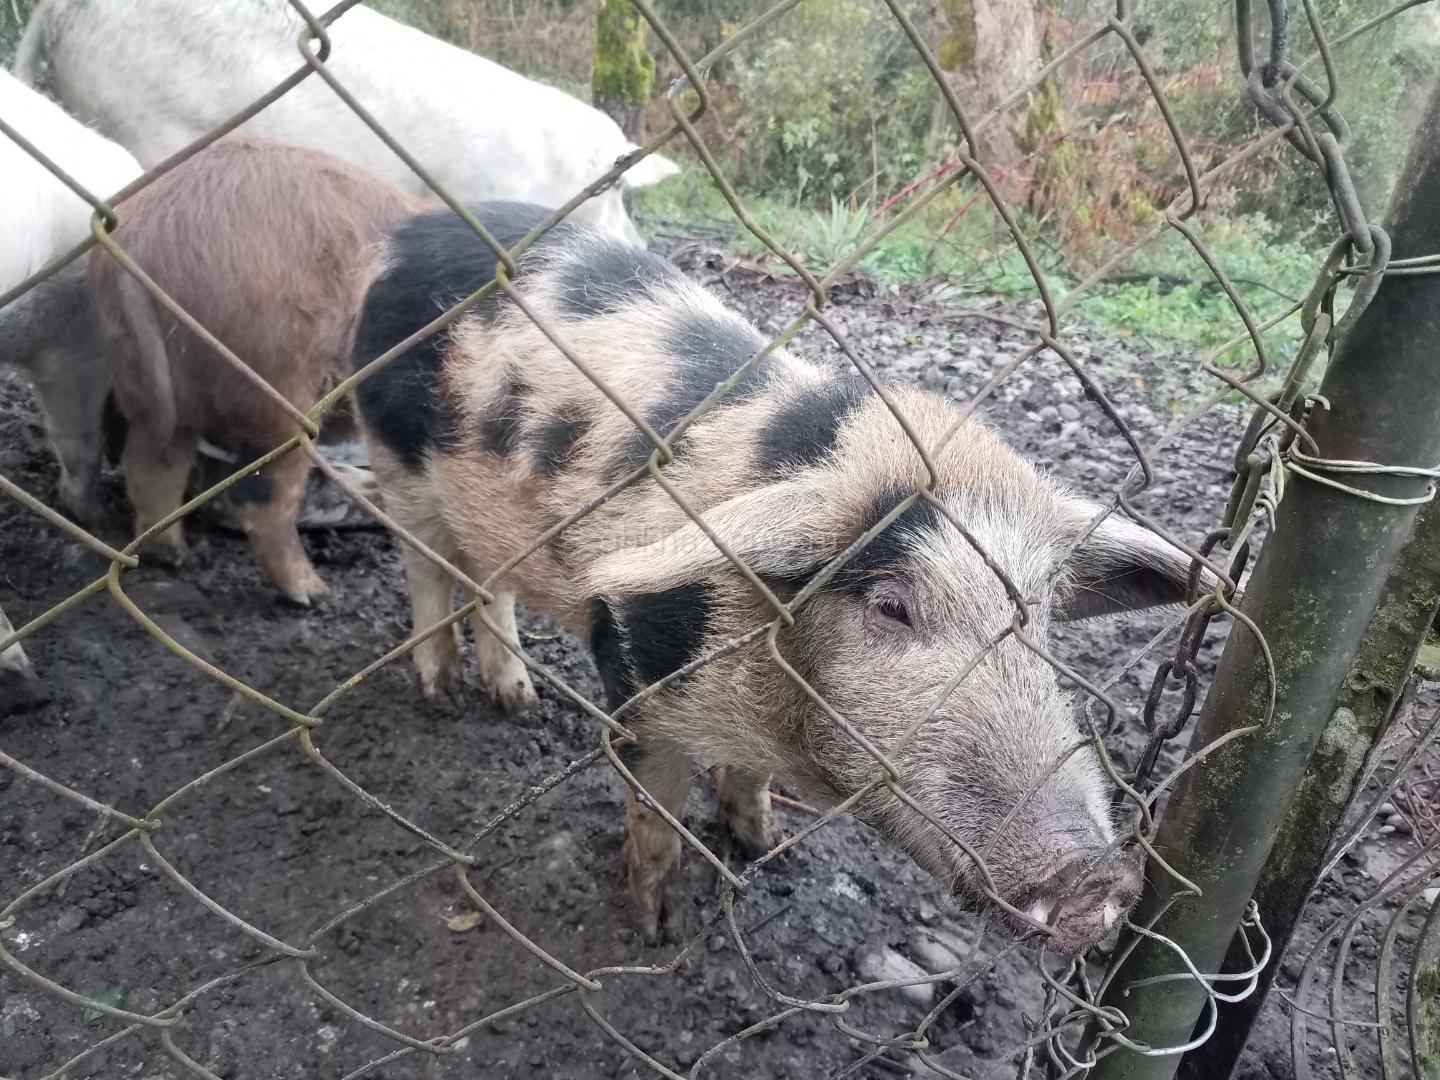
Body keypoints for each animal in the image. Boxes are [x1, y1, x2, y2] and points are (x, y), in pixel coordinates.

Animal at [89, 137, 420, 604]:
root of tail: (141, 240)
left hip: (152, 381)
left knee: (152, 462)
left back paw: (172, 556)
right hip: (277, 387)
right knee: (262, 500)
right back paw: (312, 594)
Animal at [349, 202, 1205, 948]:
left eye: (1039, 614)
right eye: (891, 606)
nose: (1097, 877)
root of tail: (406, 231)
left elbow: (747, 782)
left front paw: (765, 845)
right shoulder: (633, 672)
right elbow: (656, 805)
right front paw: (659, 927)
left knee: (485, 578)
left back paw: (517, 700)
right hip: (392, 455)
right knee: (424, 564)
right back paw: (440, 692)